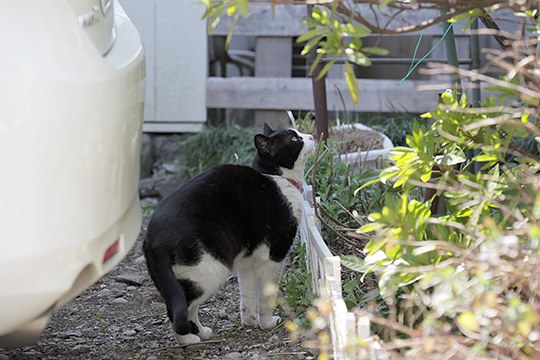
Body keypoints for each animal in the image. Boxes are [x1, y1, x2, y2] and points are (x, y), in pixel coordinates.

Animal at [143, 125, 314, 344]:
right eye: (294, 139)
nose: (311, 136)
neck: (279, 179)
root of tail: (153, 236)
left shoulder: (248, 261)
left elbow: (248, 294)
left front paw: (249, 321)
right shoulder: (274, 255)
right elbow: (266, 294)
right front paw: (267, 323)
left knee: (183, 304)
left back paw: (202, 333)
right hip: (208, 269)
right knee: (179, 307)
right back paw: (188, 340)